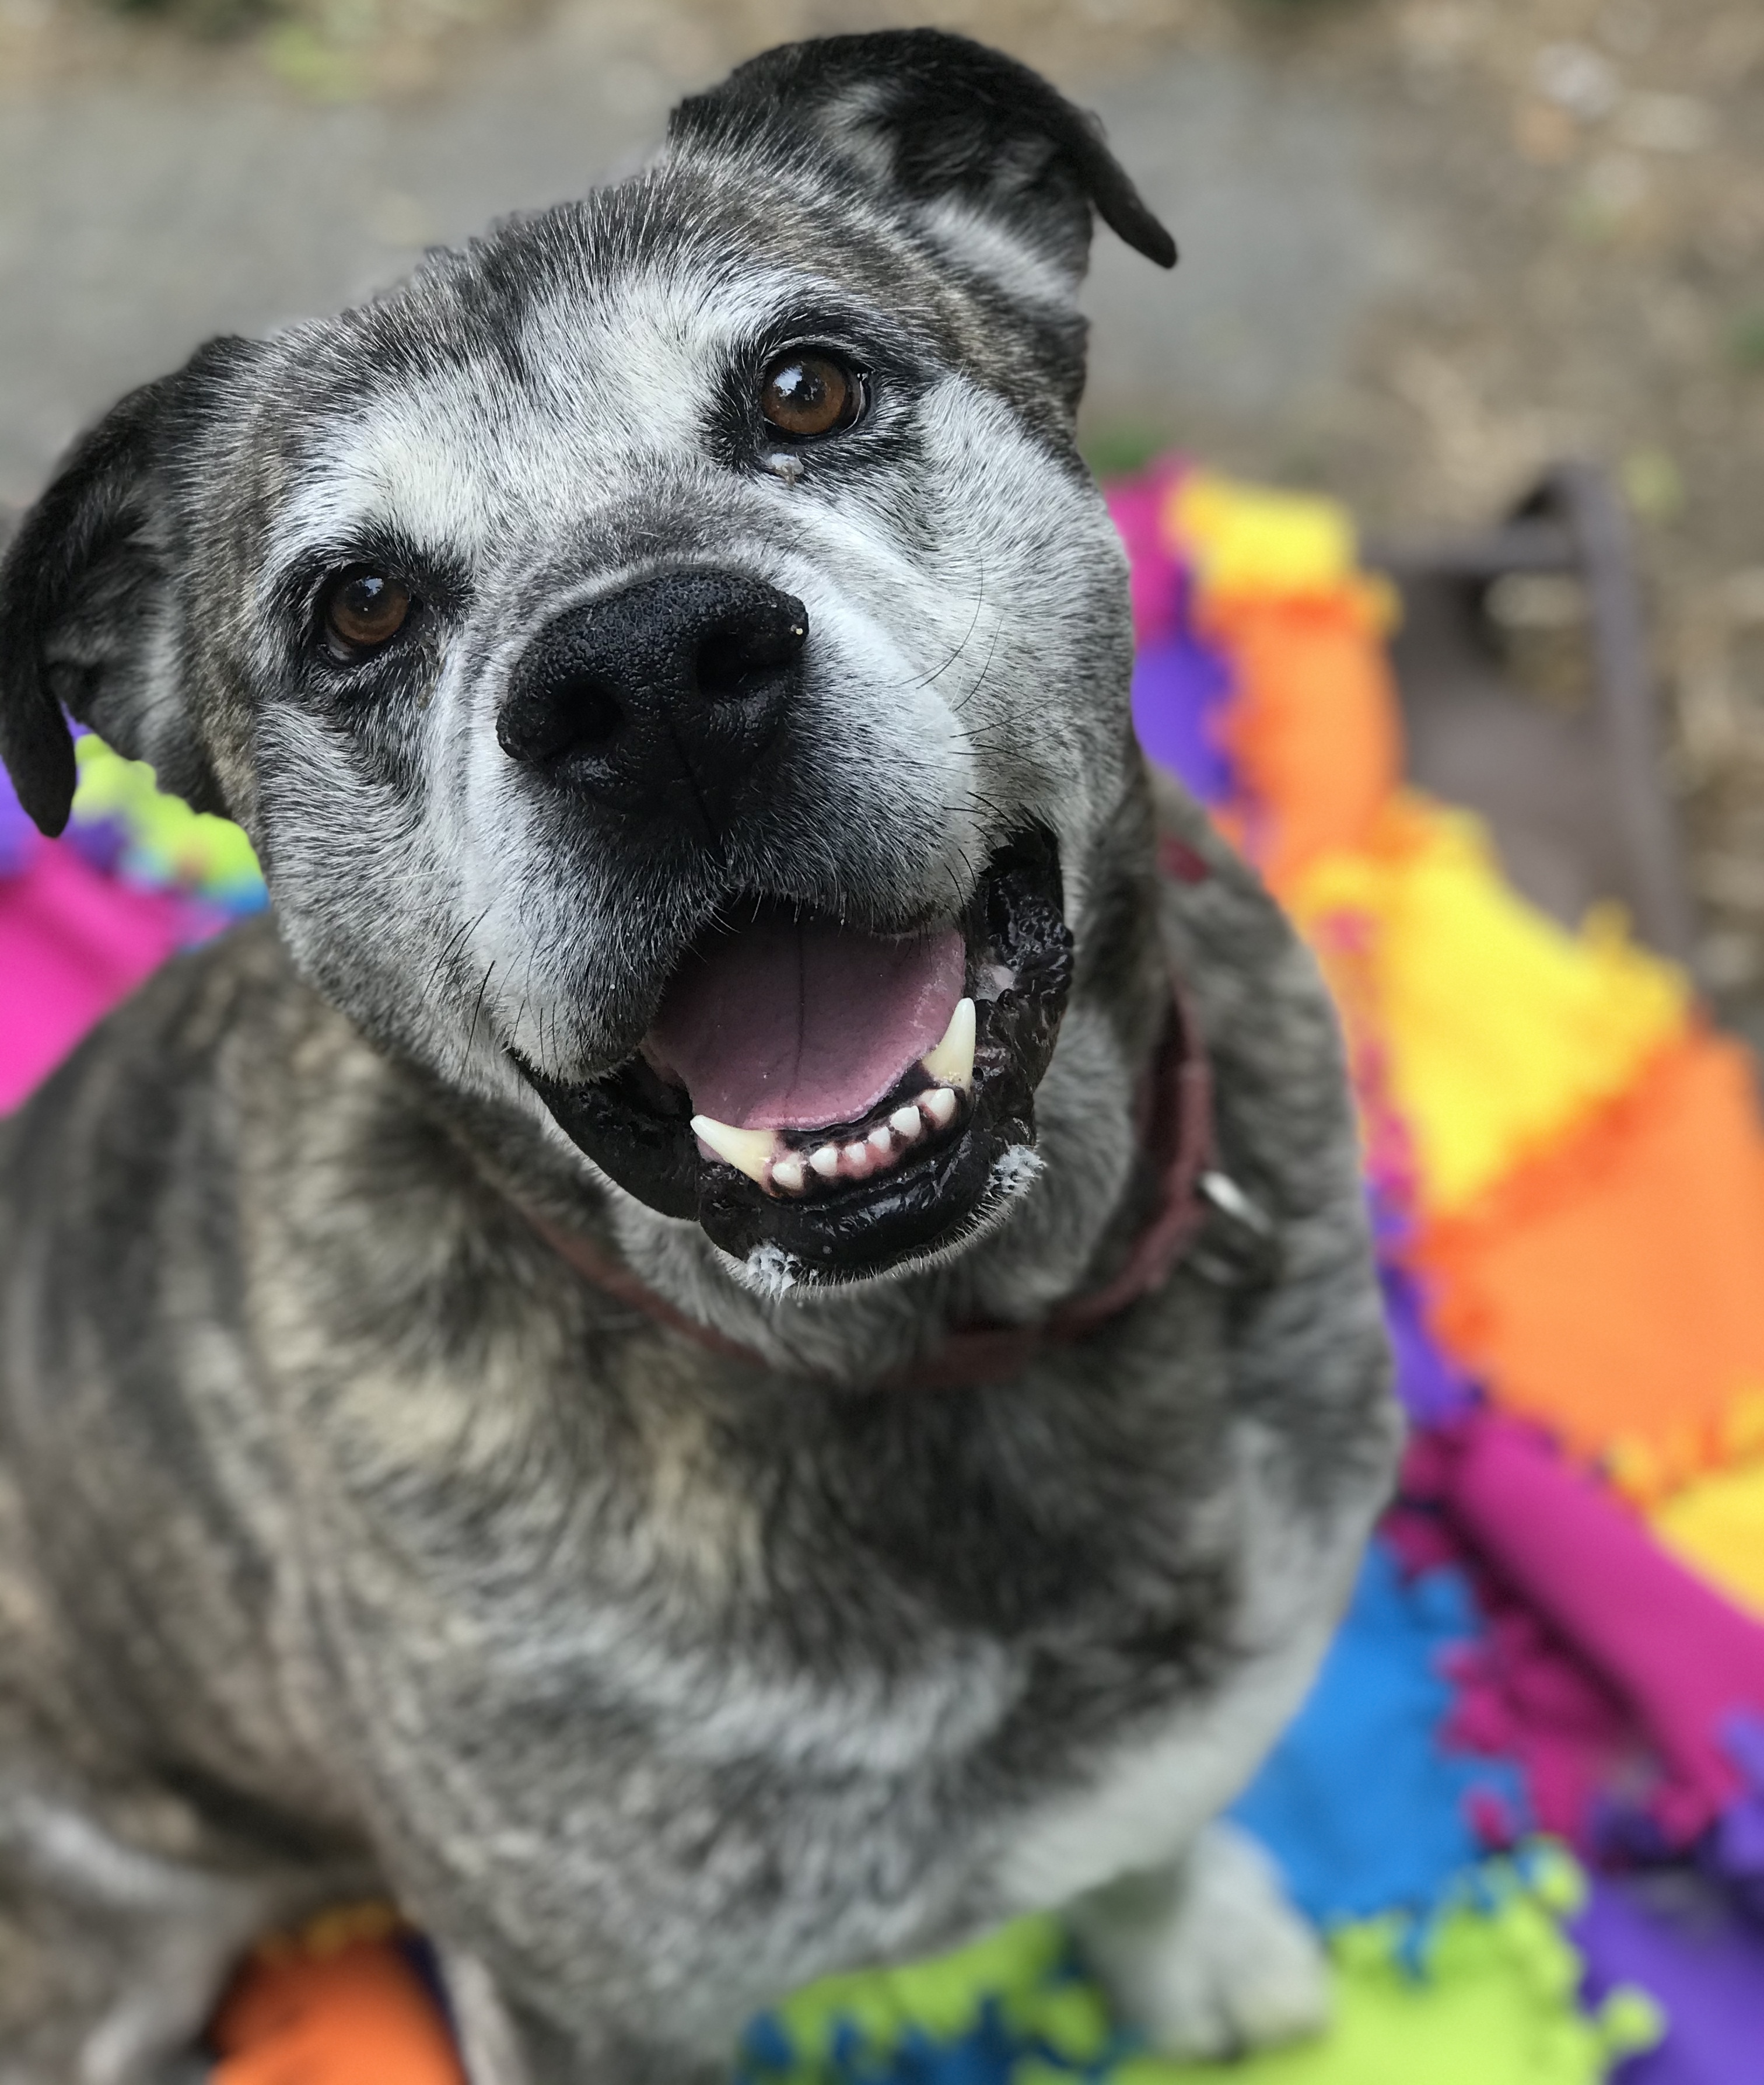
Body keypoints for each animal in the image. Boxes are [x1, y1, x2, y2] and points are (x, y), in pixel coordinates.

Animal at [0, 32, 1401, 2085]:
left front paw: (1186, 1935)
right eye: (357, 606)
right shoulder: (579, 2006)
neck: (935, 1349)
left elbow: (1148, 1832)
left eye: (808, 385)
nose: (649, 679)